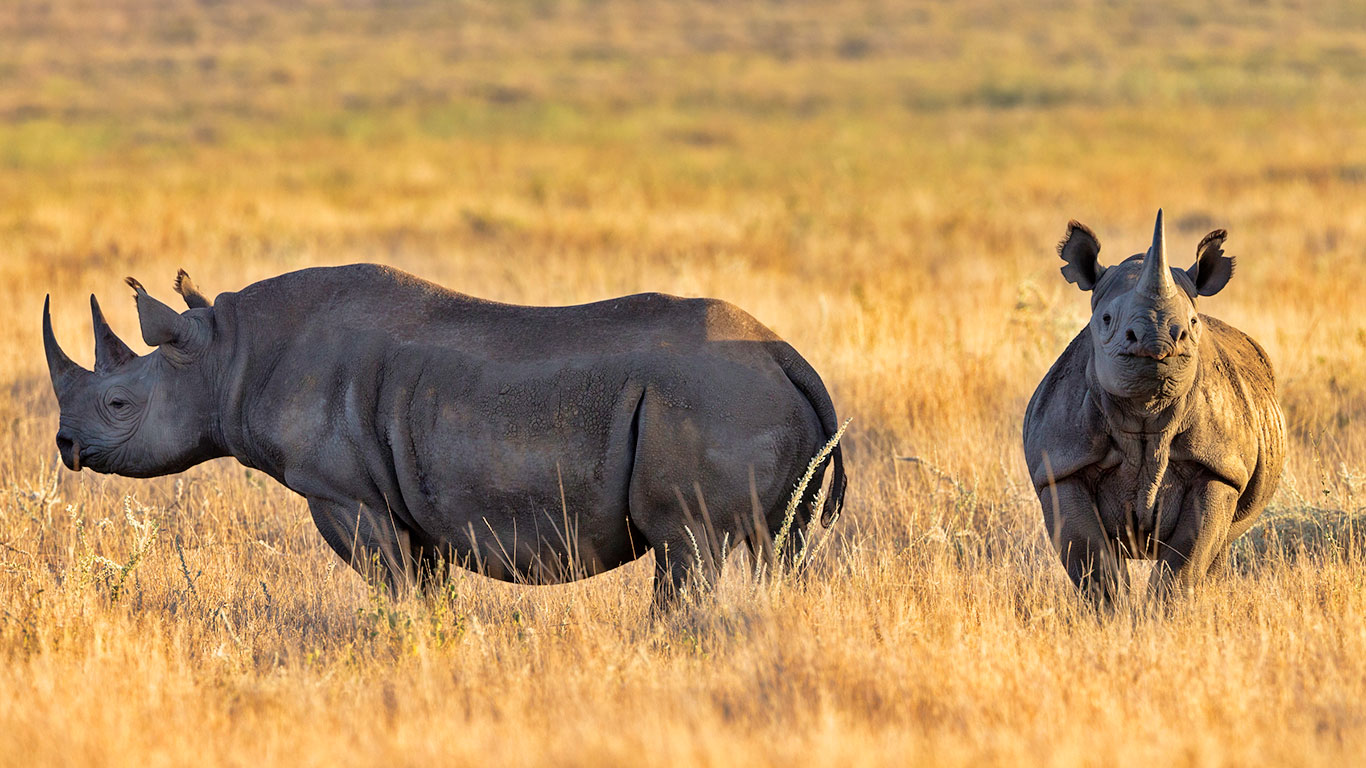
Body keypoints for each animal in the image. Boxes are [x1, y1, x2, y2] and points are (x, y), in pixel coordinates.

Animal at [43, 264, 847, 603]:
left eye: (118, 404)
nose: (65, 447)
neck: (224, 355)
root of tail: (786, 353)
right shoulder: (405, 503)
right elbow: (429, 591)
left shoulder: (344, 498)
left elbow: (394, 589)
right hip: (746, 401)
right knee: (782, 554)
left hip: (712, 400)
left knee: (690, 548)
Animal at [1023, 210, 1285, 605]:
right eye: (1106, 320)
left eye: (1192, 323)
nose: (1158, 340)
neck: (1146, 412)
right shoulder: (1061, 467)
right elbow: (1095, 564)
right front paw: (1113, 614)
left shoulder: (1219, 467)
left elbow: (1185, 561)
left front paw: (1163, 614)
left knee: (1221, 545)